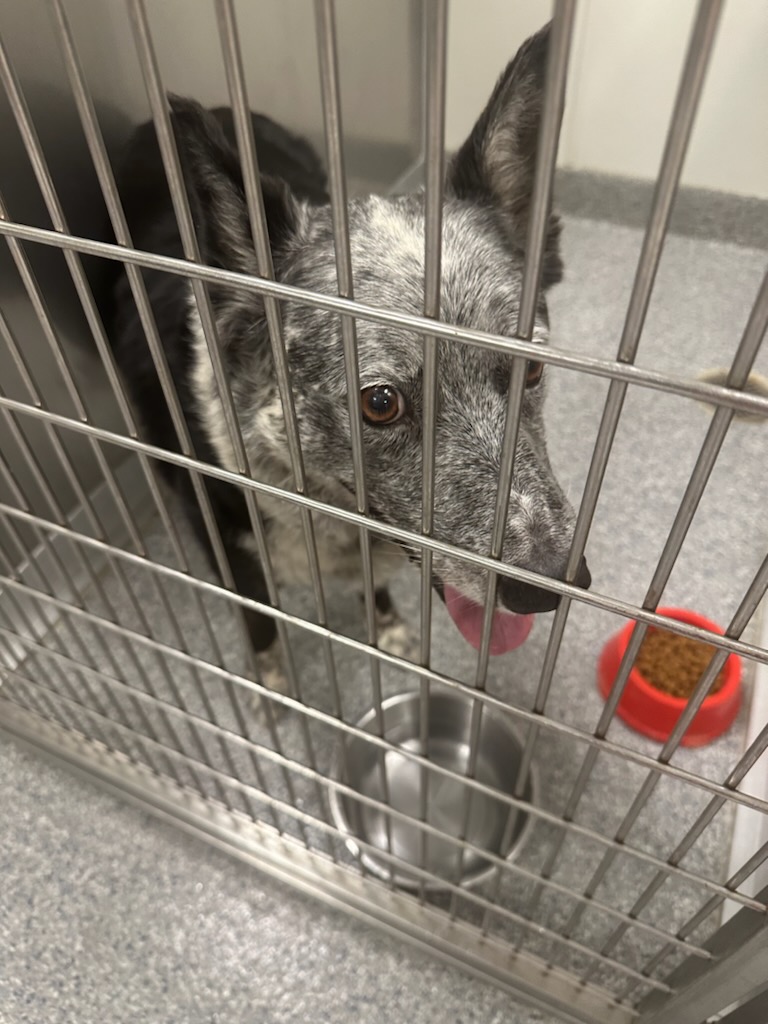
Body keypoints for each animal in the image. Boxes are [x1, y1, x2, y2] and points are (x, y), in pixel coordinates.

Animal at [104, 23, 591, 701]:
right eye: (380, 403)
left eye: (531, 369)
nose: (547, 588)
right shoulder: (228, 547)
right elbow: (259, 621)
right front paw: (272, 685)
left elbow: (372, 589)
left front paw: (385, 627)